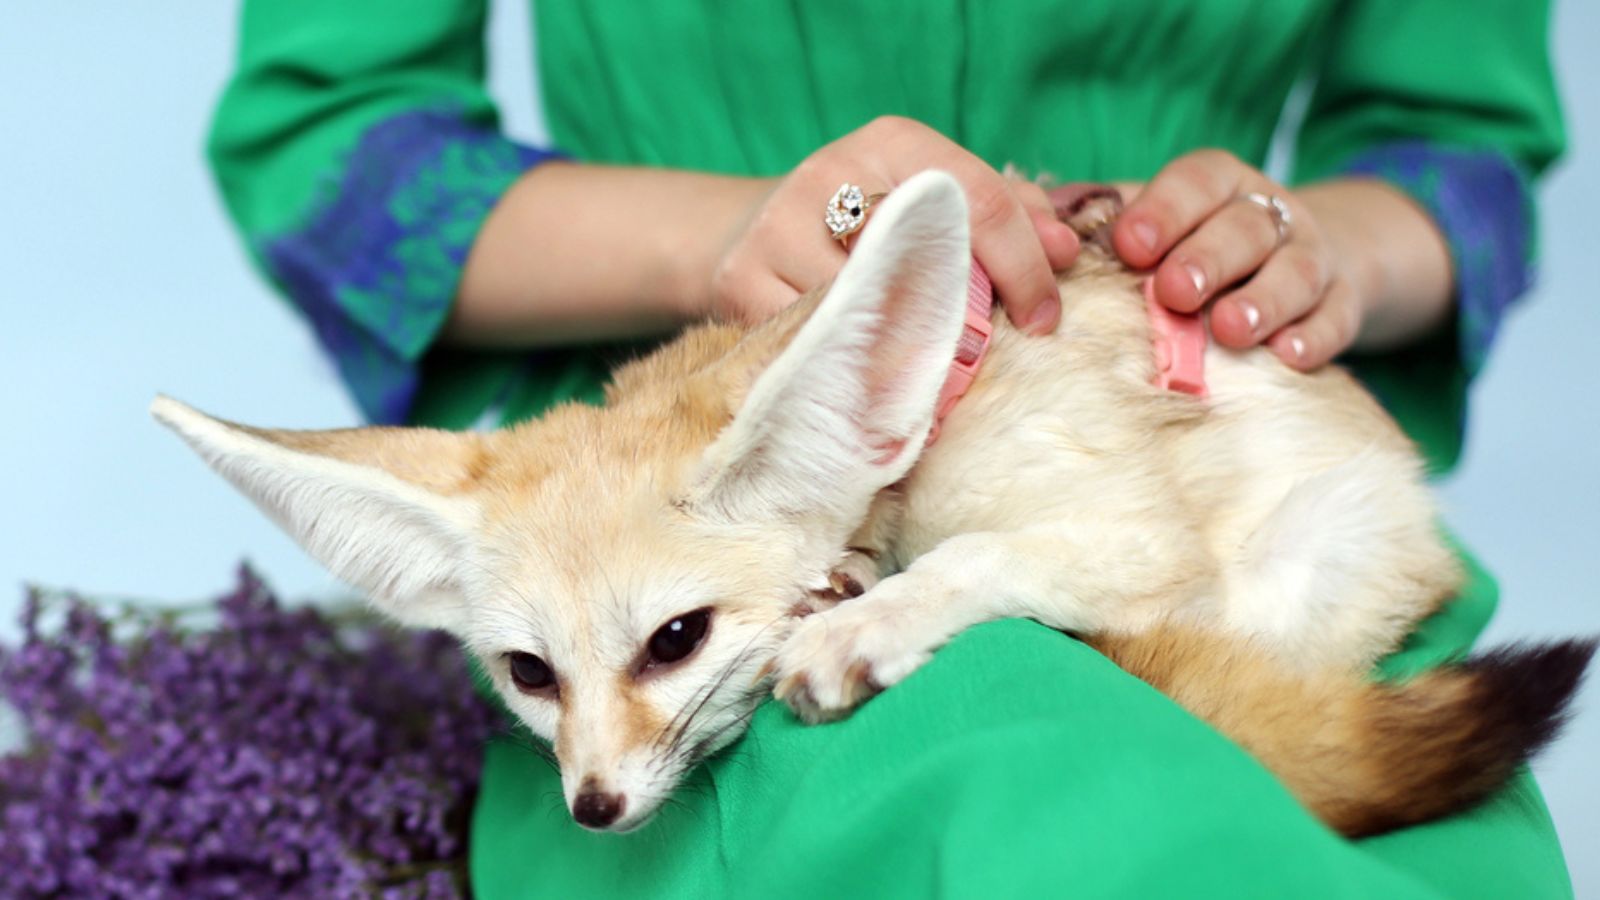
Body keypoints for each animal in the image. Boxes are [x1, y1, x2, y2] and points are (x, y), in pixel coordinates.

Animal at [153, 170, 1591, 837]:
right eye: (528, 675)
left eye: (674, 641)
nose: (593, 809)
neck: (938, 407)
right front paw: (850, 594)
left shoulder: (1133, 542)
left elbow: (978, 559)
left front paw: (863, 620)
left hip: (1304, 562)